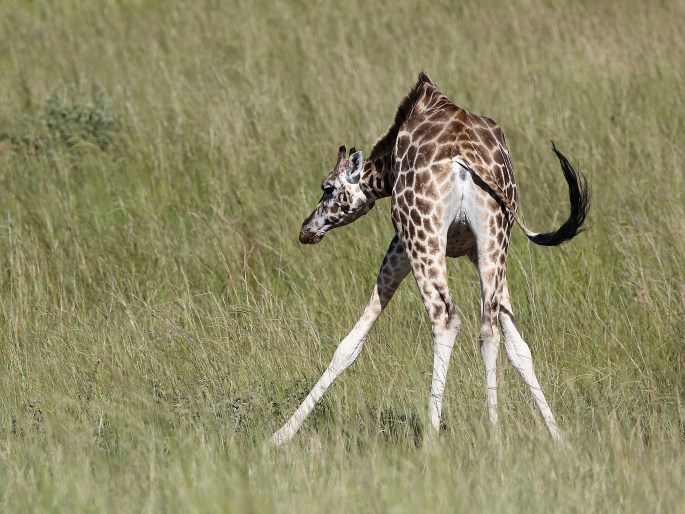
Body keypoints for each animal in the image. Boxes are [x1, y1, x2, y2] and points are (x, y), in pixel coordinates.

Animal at [270, 71, 592, 444]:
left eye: (327, 188)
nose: (306, 229)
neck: (388, 166)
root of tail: (465, 158)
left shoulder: (400, 242)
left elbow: (350, 344)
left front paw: (278, 436)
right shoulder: (475, 251)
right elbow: (519, 347)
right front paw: (558, 436)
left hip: (423, 235)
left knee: (446, 318)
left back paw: (431, 439)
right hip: (495, 237)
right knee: (488, 328)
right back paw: (495, 432)